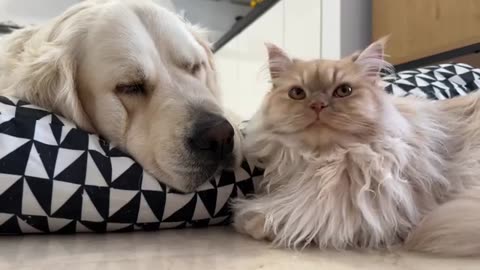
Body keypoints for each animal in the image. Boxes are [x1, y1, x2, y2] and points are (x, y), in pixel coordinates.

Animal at [232, 37, 480, 255]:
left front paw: (253, 221)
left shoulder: (360, 208)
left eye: (343, 91)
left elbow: (297, 213)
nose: (318, 104)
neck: (326, 161)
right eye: (297, 93)